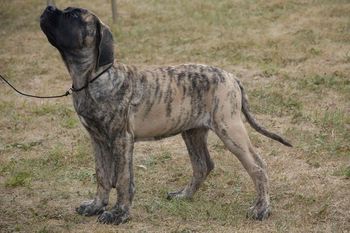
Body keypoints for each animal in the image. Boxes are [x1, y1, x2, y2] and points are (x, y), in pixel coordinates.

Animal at [40, 5, 292, 224]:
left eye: (73, 15)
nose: (48, 8)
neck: (92, 78)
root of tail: (231, 76)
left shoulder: (121, 139)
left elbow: (122, 179)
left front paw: (119, 214)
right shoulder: (98, 139)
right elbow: (102, 175)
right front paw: (95, 206)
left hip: (229, 129)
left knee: (258, 166)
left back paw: (261, 209)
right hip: (192, 131)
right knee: (203, 165)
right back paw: (184, 195)